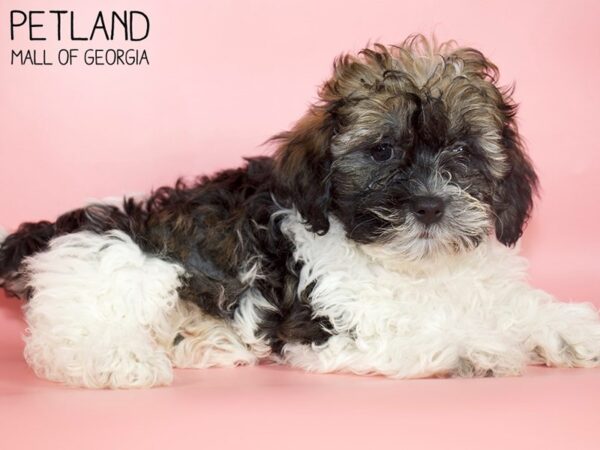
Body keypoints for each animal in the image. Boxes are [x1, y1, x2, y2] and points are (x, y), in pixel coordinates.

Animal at [1, 36, 600, 386]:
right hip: (131, 262)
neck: (418, 270)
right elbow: (411, 327)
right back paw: (120, 360)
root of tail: (58, 227)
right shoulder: (327, 323)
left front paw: (573, 328)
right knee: (71, 333)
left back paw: (204, 340)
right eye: (381, 151)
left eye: (463, 151)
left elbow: (518, 305)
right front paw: (473, 346)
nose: (429, 206)